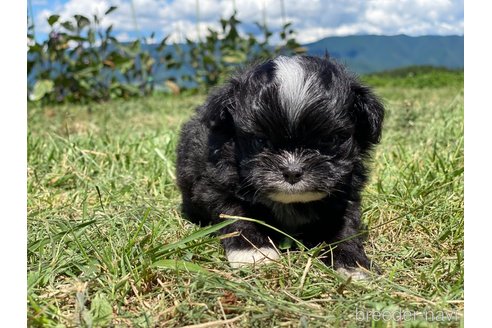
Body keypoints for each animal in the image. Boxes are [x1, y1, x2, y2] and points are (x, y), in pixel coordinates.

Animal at [177, 55, 384, 272]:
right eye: (260, 141)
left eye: (328, 140)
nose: (292, 171)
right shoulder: (216, 184)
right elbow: (237, 214)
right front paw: (252, 251)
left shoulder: (344, 193)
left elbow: (343, 225)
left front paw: (351, 262)